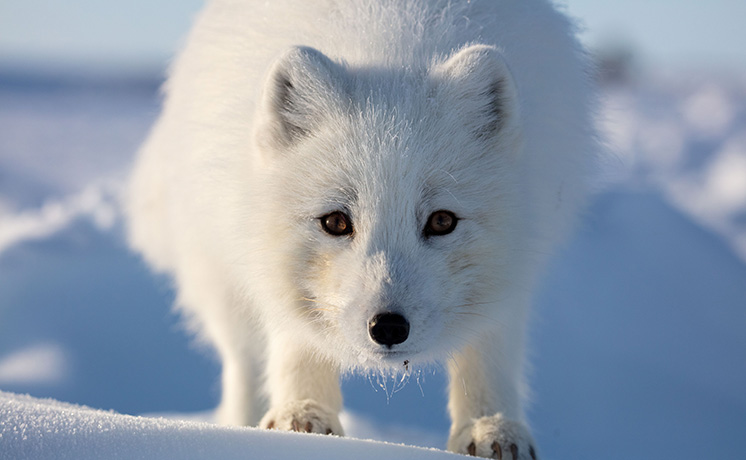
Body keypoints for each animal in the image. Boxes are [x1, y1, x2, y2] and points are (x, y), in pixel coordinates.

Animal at [126, 0, 592, 456]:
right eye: (336, 222)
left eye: (441, 221)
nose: (388, 327)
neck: (391, 39)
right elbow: (296, 339)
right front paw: (303, 416)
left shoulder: (519, 259)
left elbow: (490, 346)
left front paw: (490, 426)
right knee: (244, 363)